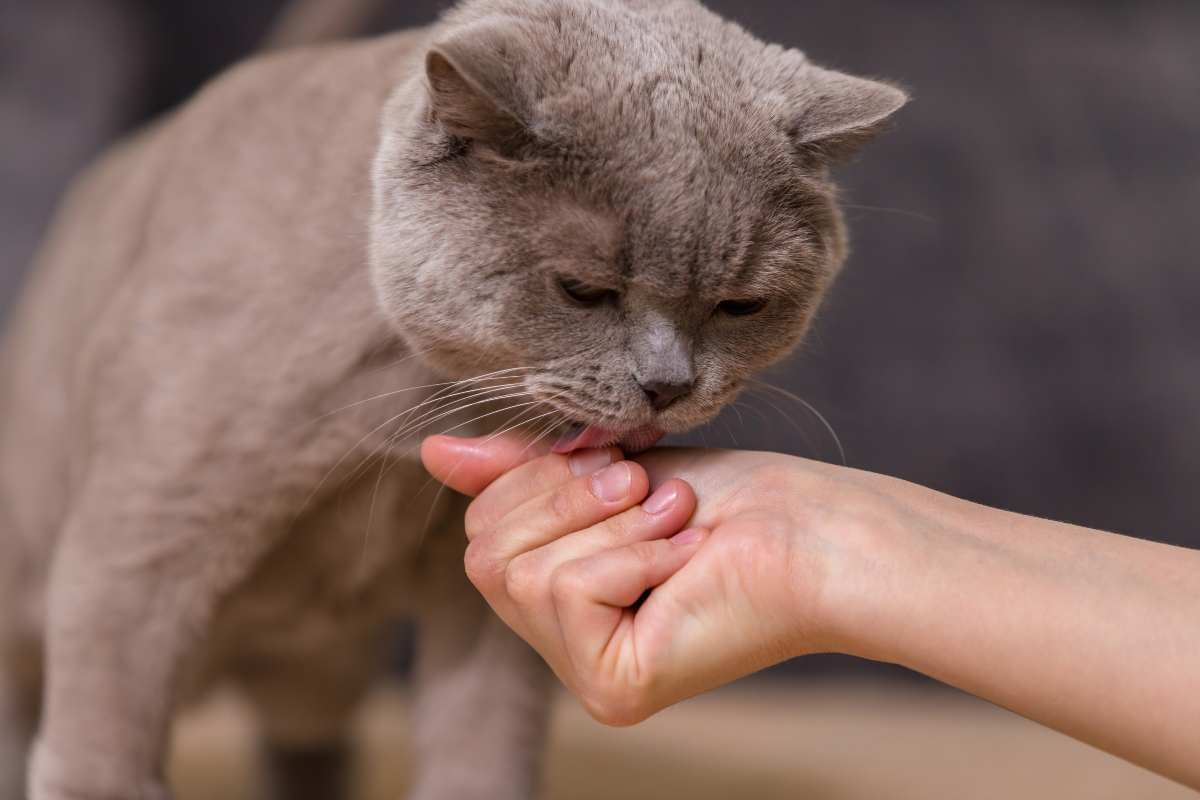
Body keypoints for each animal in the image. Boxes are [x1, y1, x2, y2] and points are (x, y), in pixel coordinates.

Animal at [0, 1, 902, 800]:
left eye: (739, 305)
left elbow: (482, 738)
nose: (668, 383)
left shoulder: (479, 594)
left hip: (317, 665)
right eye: (584, 291)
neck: (418, 410)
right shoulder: (149, 535)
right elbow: (103, 733)